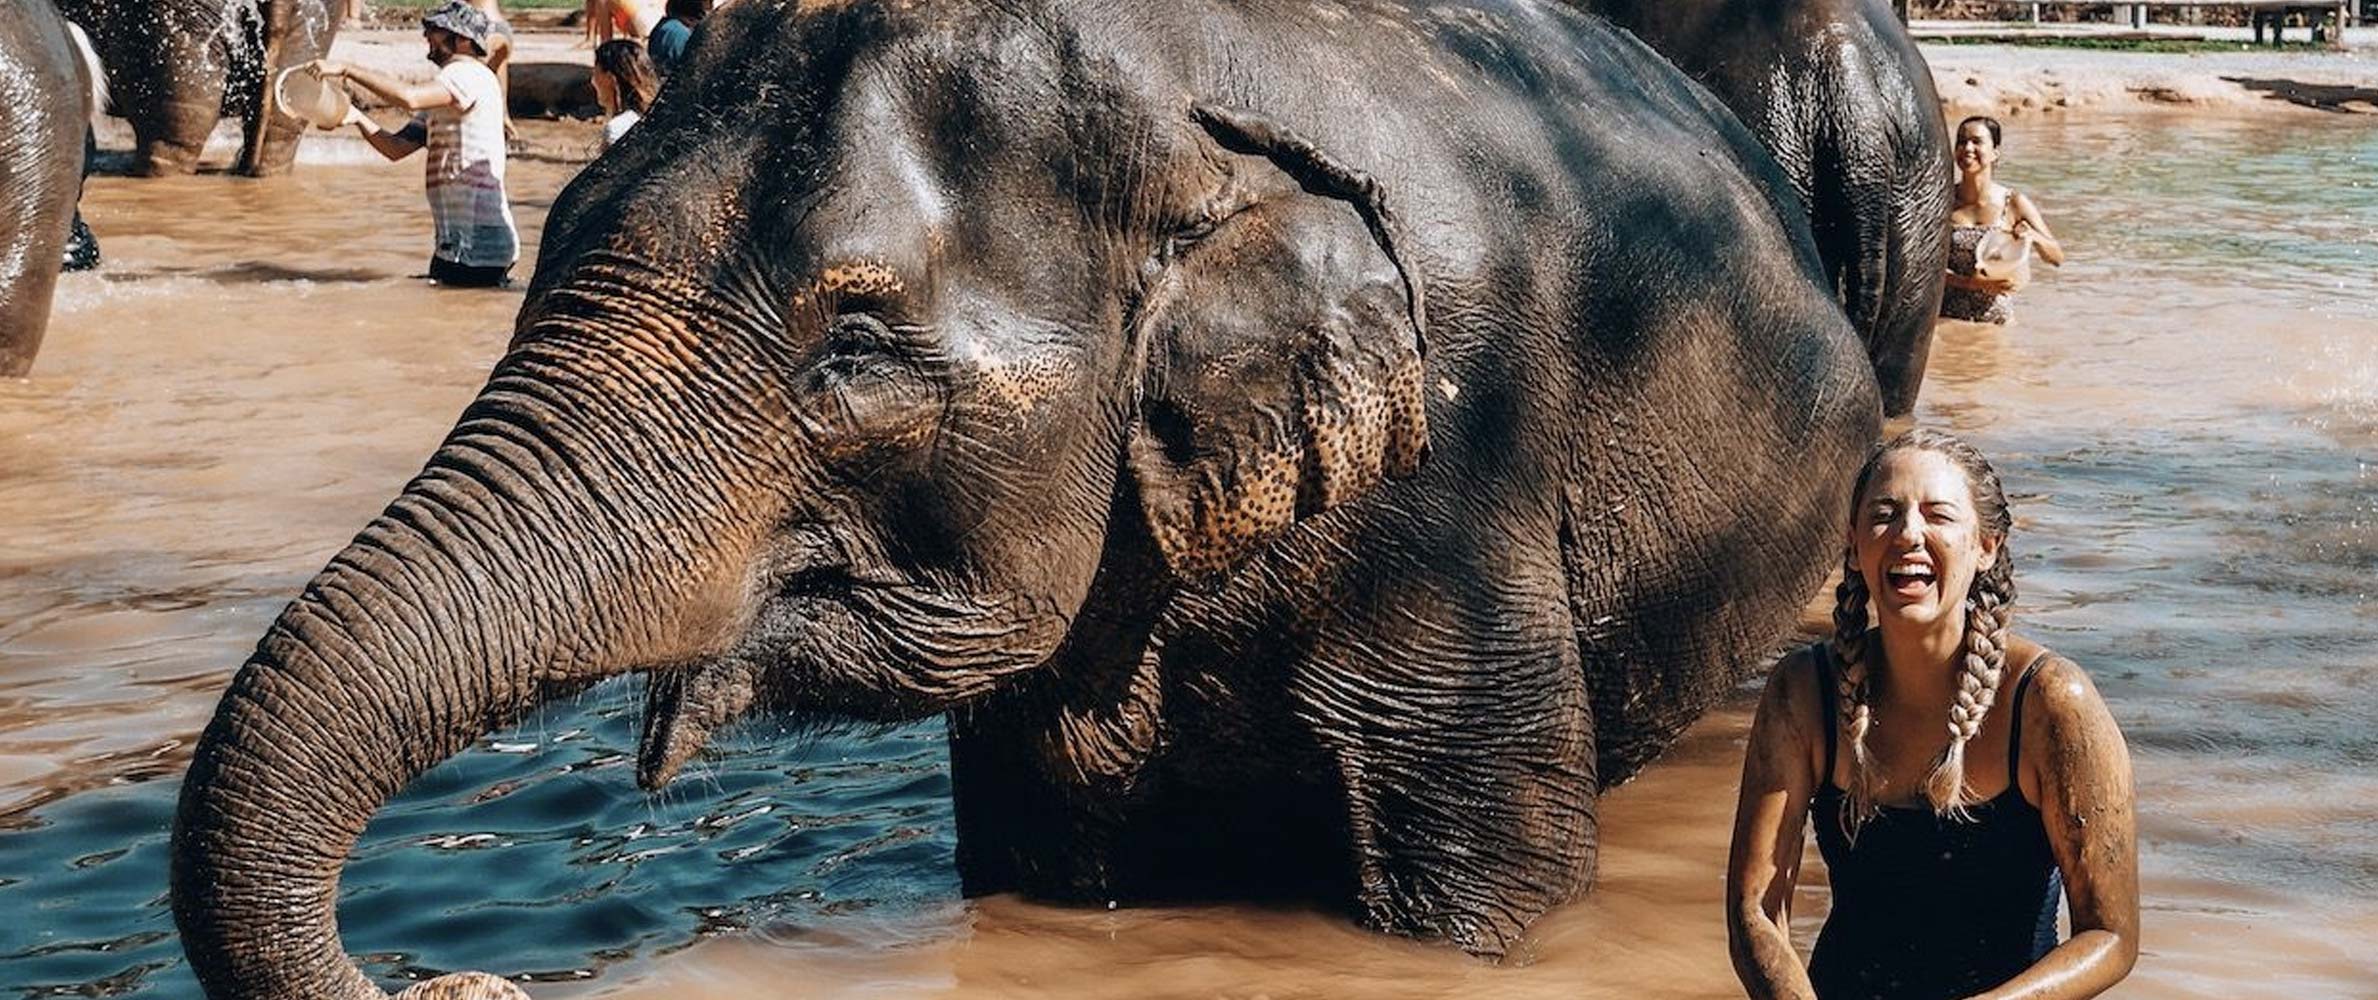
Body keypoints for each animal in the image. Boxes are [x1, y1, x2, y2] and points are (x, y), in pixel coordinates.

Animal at [169, 0, 1899, 995]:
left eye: (852, 350)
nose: (455, 985)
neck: (1181, 110)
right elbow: (1044, 859)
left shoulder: (1455, 498)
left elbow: (1487, 899)